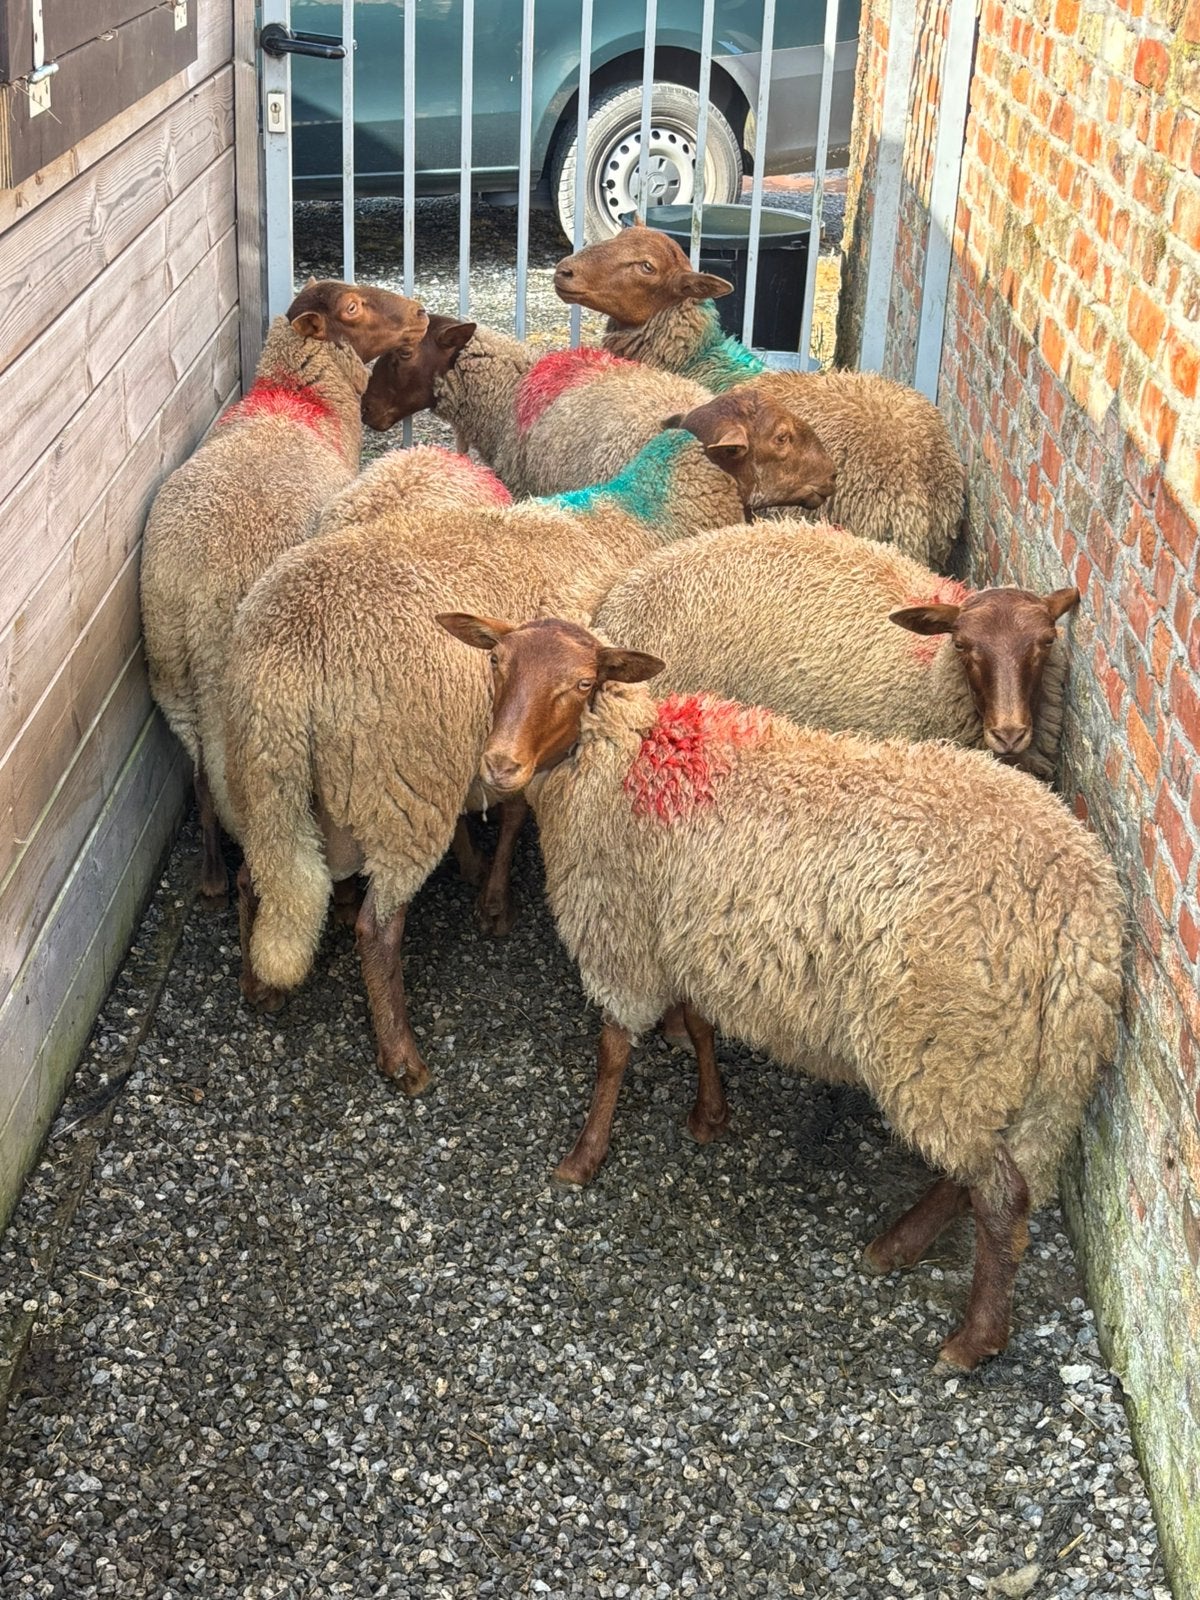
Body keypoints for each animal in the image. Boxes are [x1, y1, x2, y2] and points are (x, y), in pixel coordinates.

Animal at [140, 279, 429, 901]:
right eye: (352, 307)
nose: (420, 312)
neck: (300, 398)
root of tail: (192, 586)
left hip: (170, 672)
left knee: (200, 776)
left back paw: (210, 876)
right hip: (222, 683)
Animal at [225, 388, 825, 1095]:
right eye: (783, 436)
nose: (831, 477)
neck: (654, 513)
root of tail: (284, 659)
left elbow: (513, 809)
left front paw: (493, 898)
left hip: (282, 778)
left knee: (260, 875)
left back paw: (257, 986)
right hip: (401, 784)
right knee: (378, 926)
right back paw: (402, 1056)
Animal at [438, 613, 1125, 1372]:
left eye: (583, 684)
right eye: (497, 662)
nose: (500, 766)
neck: (624, 759)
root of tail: (1083, 911)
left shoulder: (625, 935)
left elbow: (614, 1050)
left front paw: (583, 1158)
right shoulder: (692, 935)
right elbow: (699, 1026)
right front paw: (709, 1115)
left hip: (948, 1042)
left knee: (1002, 1196)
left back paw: (973, 1339)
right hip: (1003, 1062)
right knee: (985, 1174)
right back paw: (900, 1244)